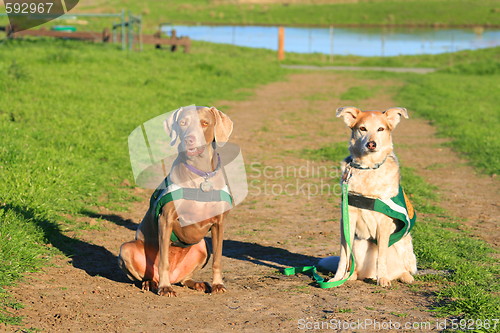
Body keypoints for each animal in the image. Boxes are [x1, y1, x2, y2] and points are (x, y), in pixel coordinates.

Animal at [118, 106, 233, 296]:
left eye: (204, 123)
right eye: (183, 122)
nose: (189, 139)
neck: (200, 175)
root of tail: (175, 276)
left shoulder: (219, 223)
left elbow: (218, 259)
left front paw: (218, 284)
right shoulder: (166, 219)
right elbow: (163, 260)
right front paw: (165, 288)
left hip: (203, 246)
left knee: (185, 278)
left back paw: (197, 283)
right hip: (127, 249)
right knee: (148, 273)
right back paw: (153, 283)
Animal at [328, 105, 418, 286]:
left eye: (380, 129)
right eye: (362, 128)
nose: (371, 144)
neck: (368, 169)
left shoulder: (384, 223)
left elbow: (381, 256)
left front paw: (382, 278)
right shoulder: (347, 219)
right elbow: (343, 255)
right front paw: (337, 278)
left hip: (404, 245)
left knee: (402, 267)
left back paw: (401, 276)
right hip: (359, 243)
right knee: (354, 265)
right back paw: (352, 276)